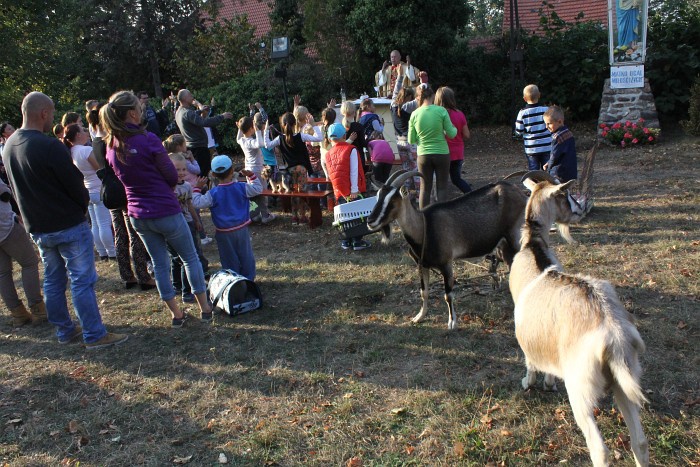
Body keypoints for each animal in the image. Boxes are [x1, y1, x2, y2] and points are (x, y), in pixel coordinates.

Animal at [370, 170, 528, 330]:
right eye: (377, 197)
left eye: (392, 201)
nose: (370, 221)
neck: (424, 227)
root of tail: (520, 193)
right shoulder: (422, 265)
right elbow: (423, 292)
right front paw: (419, 317)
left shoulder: (446, 263)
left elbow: (448, 295)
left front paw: (452, 322)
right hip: (505, 246)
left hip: (516, 239)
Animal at [508, 172, 652, 467]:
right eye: (565, 197)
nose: (579, 212)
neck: (533, 247)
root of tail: (615, 338)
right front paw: (549, 382)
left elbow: (530, 360)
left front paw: (530, 383)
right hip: (625, 381)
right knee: (640, 441)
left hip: (580, 389)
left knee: (599, 447)